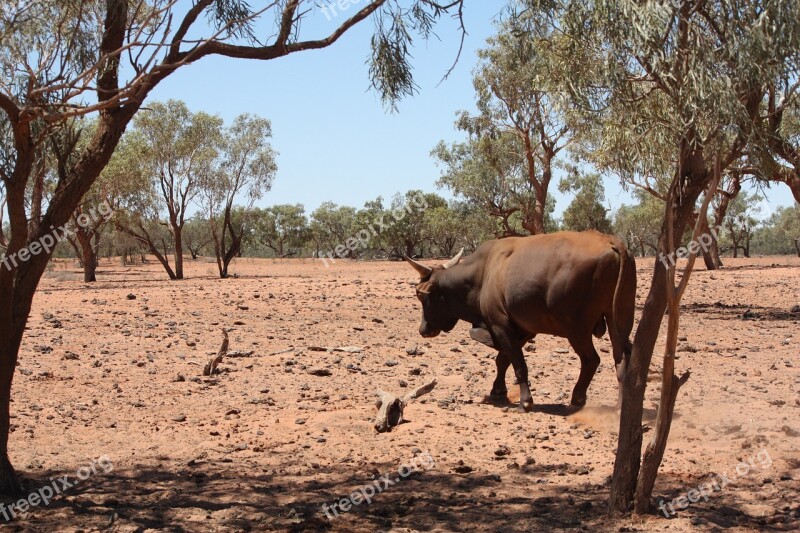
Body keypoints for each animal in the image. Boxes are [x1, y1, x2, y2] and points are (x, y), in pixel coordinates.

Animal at [406, 230, 636, 412]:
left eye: (420, 295)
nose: (423, 330)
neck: (483, 272)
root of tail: (610, 241)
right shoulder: (522, 329)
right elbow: (503, 360)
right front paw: (498, 389)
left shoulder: (500, 325)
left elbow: (518, 365)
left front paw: (525, 401)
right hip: (617, 321)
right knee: (623, 359)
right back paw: (621, 407)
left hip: (577, 330)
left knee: (591, 360)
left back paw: (577, 399)